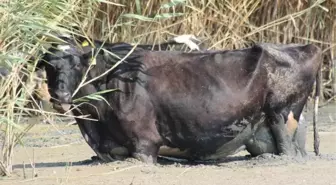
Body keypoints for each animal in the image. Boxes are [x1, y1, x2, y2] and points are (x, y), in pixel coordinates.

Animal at [36, 38, 320, 163]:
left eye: (77, 65)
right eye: (49, 67)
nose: (60, 96)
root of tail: (306, 46)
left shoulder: (144, 144)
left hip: (281, 114)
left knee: (286, 149)